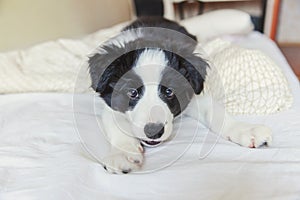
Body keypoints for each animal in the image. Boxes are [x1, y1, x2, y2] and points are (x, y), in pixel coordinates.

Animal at [87, 16, 272, 173]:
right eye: (132, 92)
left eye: (169, 91)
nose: (153, 131)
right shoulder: (110, 102)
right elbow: (116, 125)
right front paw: (123, 153)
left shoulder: (192, 95)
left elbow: (216, 112)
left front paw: (245, 129)